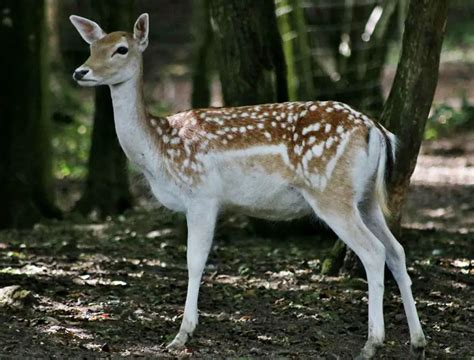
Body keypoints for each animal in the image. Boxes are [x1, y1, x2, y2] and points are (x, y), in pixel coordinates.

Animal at [69, 12, 426, 358]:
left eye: (121, 49)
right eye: (92, 46)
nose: (80, 71)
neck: (158, 151)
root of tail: (375, 129)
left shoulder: (202, 195)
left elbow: (194, 261)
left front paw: (181, 336)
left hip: (331, 193)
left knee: (374, 251)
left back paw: (372, 343)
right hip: (365, 198)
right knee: (396, 250)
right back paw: (417, 341)